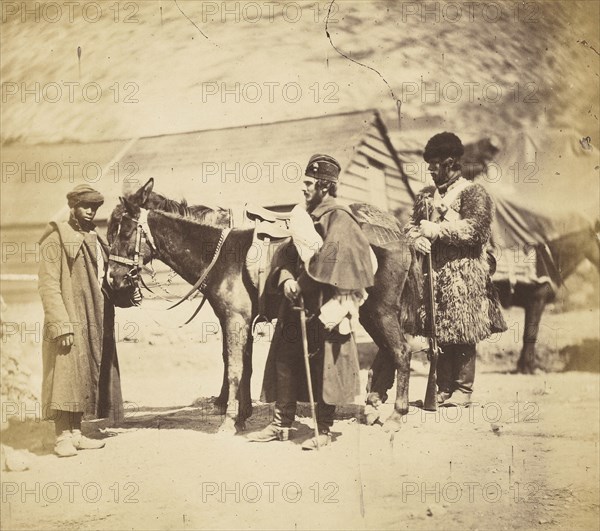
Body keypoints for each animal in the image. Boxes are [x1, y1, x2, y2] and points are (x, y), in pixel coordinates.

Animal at [110, 179, 424, 432]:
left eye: (124, 232)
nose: (114, 279)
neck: (222, 253)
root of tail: (400, 238)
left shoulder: (235, 320)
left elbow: (234, 367)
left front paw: (228, 418)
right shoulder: (240, 321)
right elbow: (243, 365)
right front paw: (240, 415)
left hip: (379, 311)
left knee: (401, 351)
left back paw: (397, 414)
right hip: (373, 314)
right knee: (390, 351)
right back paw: (374, 407)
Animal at [494, 220, 596, 374]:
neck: (549, 262)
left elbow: (529, 333)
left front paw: (523, 366)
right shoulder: (536, 302)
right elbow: (530, 334)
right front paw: (527, 367)